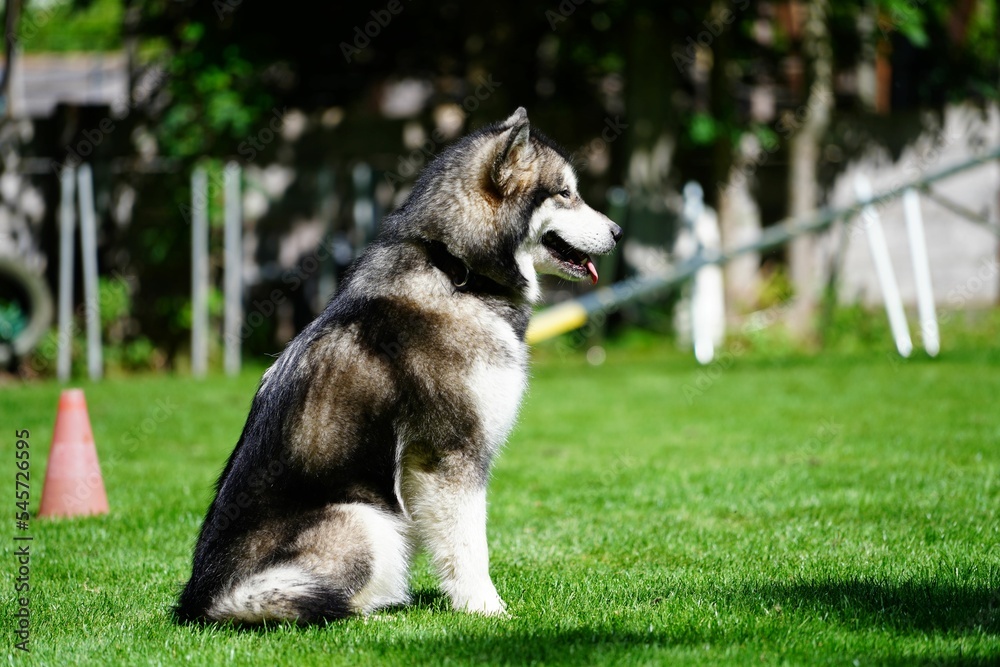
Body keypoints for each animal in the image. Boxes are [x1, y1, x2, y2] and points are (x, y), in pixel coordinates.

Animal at [176, 107, 620, 624]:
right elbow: (470, 548)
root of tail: (202, 599)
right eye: (566, 193)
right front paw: (487, 611)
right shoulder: (446, 456)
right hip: (367, 518)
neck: (458, 272)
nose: (618, 232)